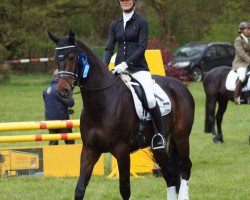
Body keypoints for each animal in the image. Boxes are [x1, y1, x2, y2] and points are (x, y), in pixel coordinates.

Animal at [47, 30, 194, 200]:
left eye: (72, 57)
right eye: (57, 58)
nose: (62, 91)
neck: (101, 104)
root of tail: (180, 86)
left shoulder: (122, 150)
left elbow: (125, 189)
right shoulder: (90, 150)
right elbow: (80, 188)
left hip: (181, 136)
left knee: (185, 167)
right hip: (157, 147)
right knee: (169, 175)